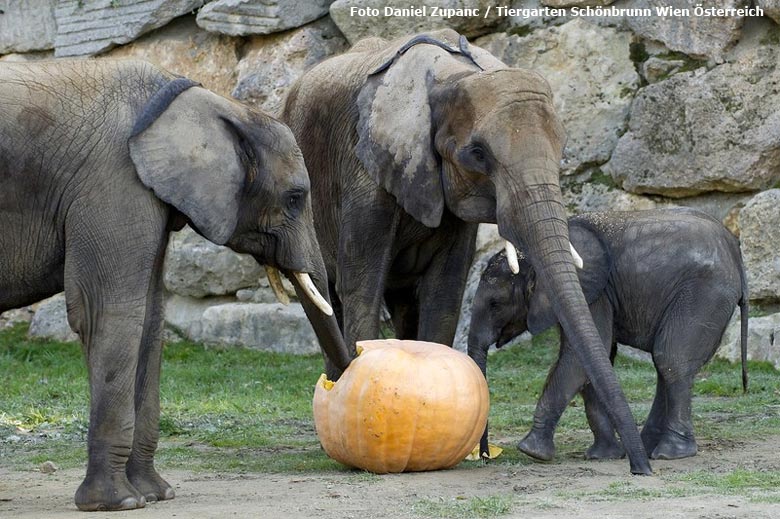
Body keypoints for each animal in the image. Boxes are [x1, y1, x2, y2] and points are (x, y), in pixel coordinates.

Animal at [0, 60, 354, 512]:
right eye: (294, 198)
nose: (344, 377)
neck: (211, 102)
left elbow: (151, 320)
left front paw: (156, 494)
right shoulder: (113, 183)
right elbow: (110, 313)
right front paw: (119, 503)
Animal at [278, 29, 652, 476]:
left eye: (561, 149)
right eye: (478, 154)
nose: (642, 469)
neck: (452, 74)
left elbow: (445, 290)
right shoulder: (363, 170)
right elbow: (361, 286)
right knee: (327, 297)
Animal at [466, 207, 748, 464]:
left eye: (495, 304)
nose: (485, 455)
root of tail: (735, 249)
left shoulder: (593, 293)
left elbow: (579, 359)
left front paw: (532, 451)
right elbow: (595, 359)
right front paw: (604, 455)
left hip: (705, 294)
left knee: (671, 360)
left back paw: (671, 453)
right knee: (665, 363)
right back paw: (647, 447)